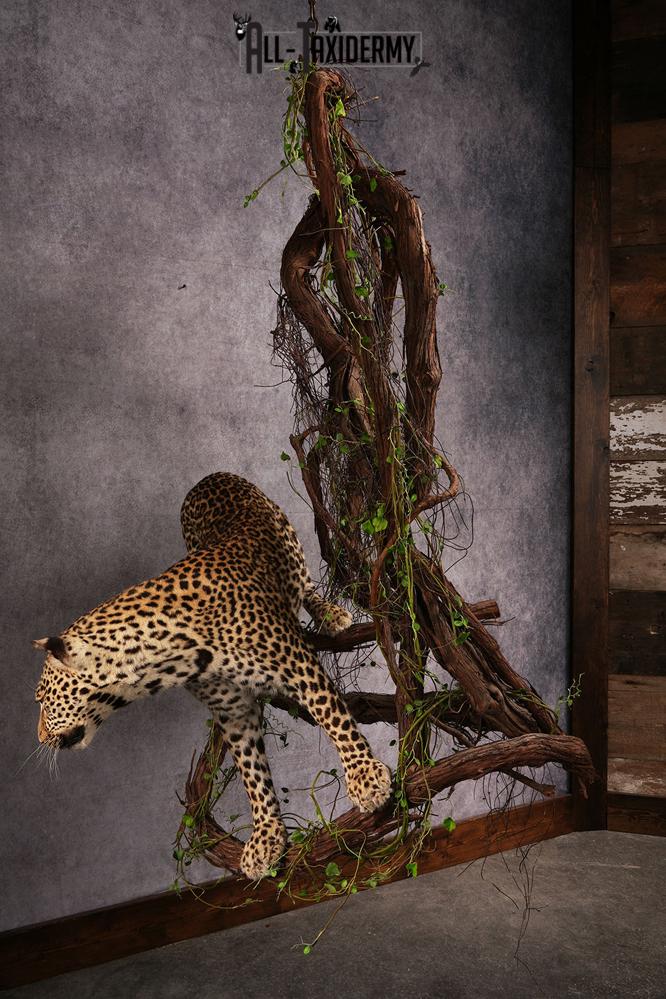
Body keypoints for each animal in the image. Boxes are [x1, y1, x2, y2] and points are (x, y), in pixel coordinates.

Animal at [32, 472, 392, 879]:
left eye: (44, 700)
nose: (40, 737)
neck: (166, 657)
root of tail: (209, 478)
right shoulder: (231, 709)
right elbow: (251, 769)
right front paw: (266, 837)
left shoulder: (299, 666)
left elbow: (334, 719)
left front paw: (365, 778)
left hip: (291, 541)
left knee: (307, 584)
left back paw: (330, 614)